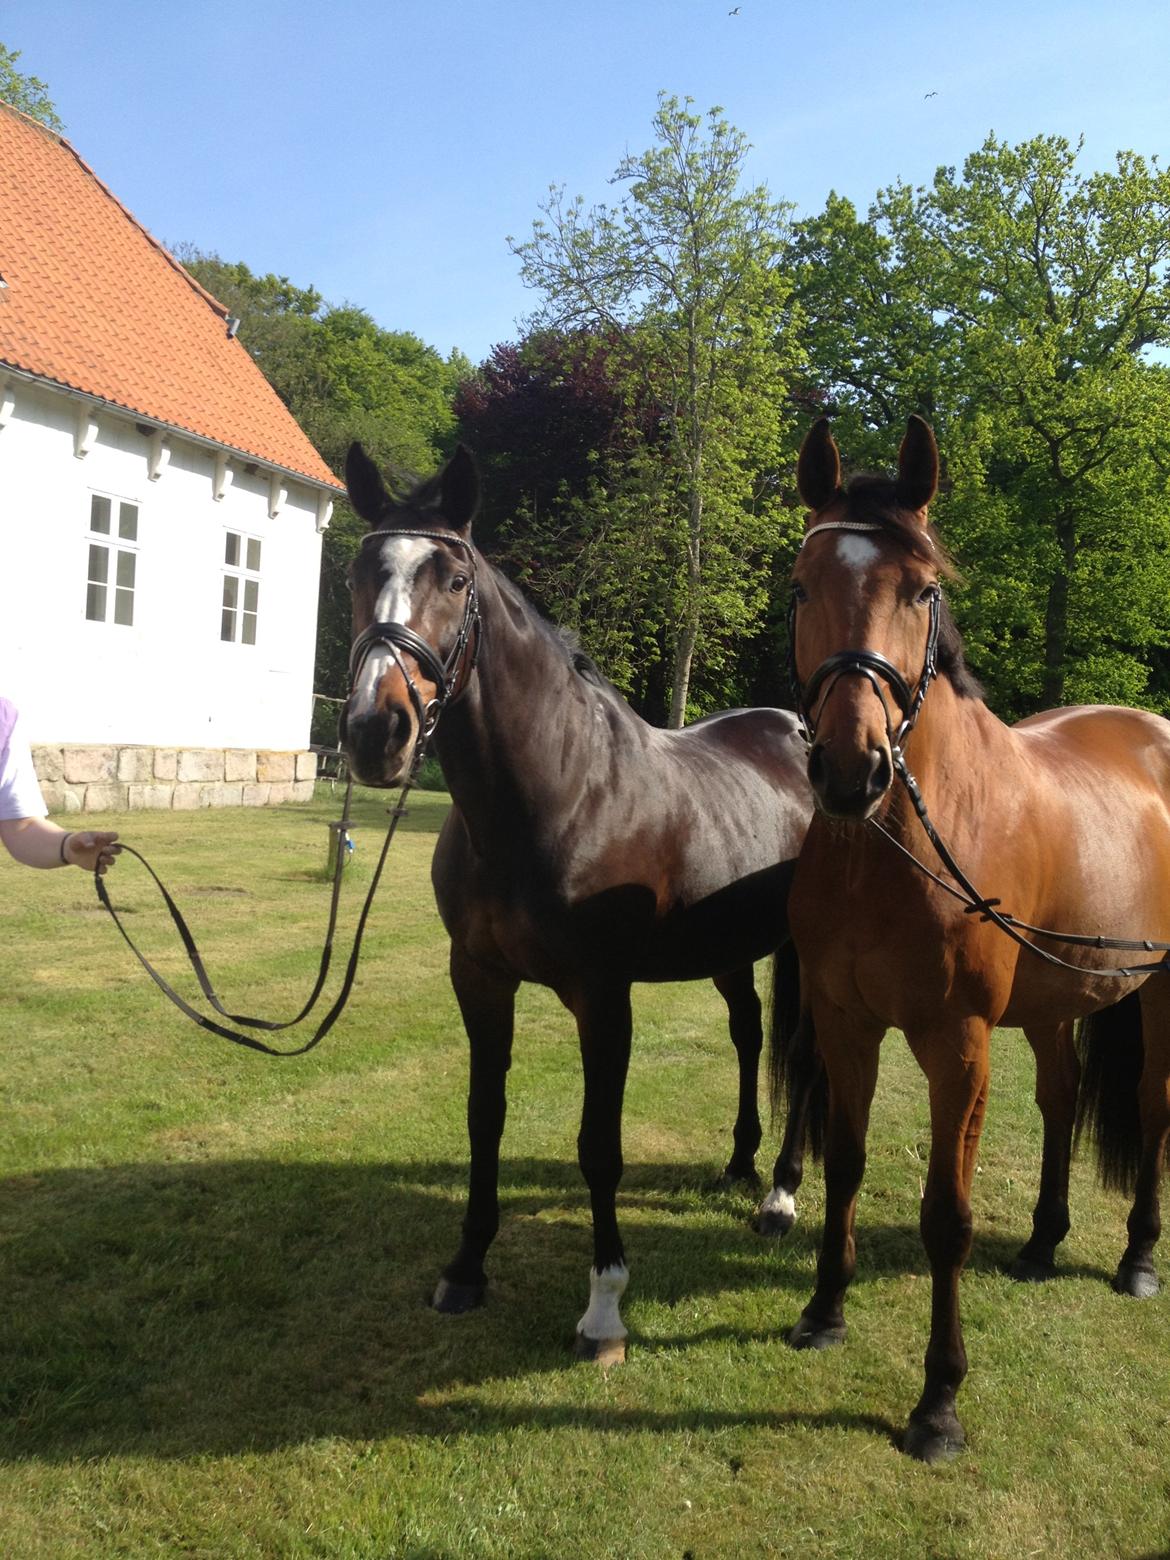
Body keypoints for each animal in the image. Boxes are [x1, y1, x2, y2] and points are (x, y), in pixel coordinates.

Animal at [338, 439, 817, 1354]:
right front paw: (466, 1268)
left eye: (455, 580)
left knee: (807, 1058)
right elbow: (483, 1115)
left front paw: (604, 1307)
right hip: (730, 952)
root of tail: (803, 735)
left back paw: (780, 1193)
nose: (377, 732)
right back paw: (740, 1162)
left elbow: (600, 1144)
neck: (558, 793)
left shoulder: (603, 996)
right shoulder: (478, 978)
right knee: (747, 1034)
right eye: (356, 571)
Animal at [789, 414, 1170, 1460]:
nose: (851, 769)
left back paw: (1136, 1258)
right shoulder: (843, 1024)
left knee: (1154, 1106)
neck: (902, 842)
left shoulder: (956, 1045)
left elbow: (946, 1217)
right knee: (1060, 1098)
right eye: (801, 585)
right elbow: (844, 1167)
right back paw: (1043, 1240)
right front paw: (824, 1311)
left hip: (1160, 994)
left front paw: (939, 1401)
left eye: (923, 591)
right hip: (1054, 999)